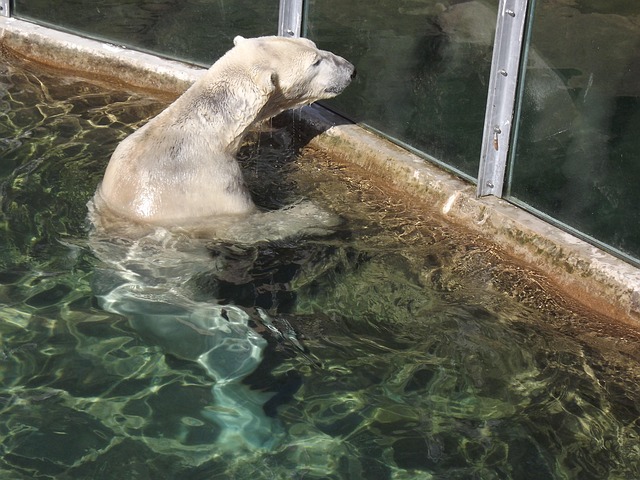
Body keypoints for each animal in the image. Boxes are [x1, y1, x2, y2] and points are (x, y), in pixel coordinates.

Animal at [92, 35, 355, 227]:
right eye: (315, 62)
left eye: (314, 45)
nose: (351, 69)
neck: (206, 130)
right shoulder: (214, 186)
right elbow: (250, 224)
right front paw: (320, 214)